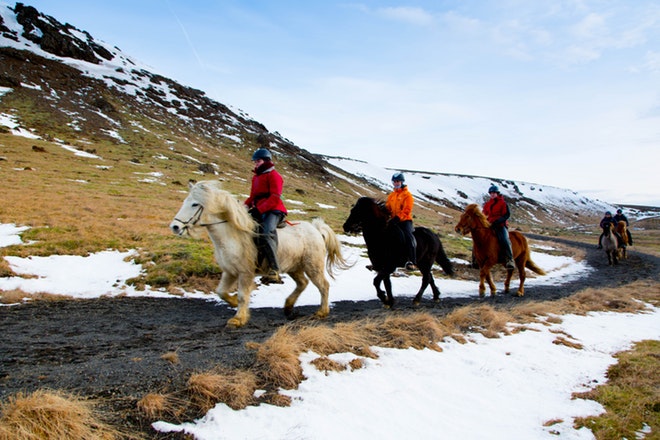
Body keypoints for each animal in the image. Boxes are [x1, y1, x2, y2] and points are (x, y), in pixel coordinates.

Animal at [170, 180, 350, 328]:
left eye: (194, 204)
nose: (175, 227)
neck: (232, 235)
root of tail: (316, 229)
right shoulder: (229, 272)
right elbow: (221, 291)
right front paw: (233, 303)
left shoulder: (245, 273)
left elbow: (243, 295)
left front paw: (238, 319)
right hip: (294, 267)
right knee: (303, 283)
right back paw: (288, 306)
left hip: (313, 266)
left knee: (323, 285)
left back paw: (322, 312)